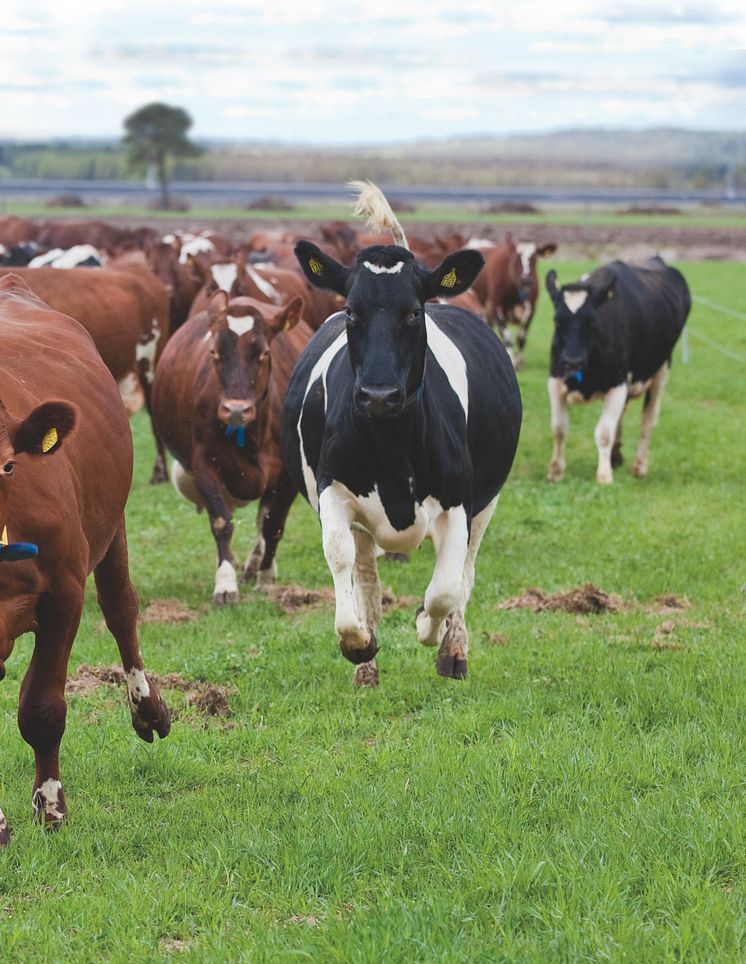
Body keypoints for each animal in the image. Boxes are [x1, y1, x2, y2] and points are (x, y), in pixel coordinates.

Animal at [151, 290, 310, 604]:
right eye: (214, 353)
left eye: (263, 353)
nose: (236, 410)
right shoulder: (205, 465)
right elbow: (221, 522)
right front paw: (226, 583)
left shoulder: (287, 476)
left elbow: (273, 525)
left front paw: (265, 578)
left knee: (263, 520)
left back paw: (257, 564)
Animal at [282, 245, 520, 688]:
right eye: (350, 311)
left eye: (413, 312)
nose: (379, 394)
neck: (391, 445)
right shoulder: (333, 490)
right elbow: (339, 557)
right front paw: (358, 642)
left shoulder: (458, 503)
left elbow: (444, 590)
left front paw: (428, 626)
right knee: (368, 584)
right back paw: (367, 670)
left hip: (487, 501)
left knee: (465, 575)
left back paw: (454, 650)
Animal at [544, 256, 688, 486]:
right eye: (557, 321)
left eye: (591, 321)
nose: (573, 362)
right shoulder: (555, 381)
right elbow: (559, 428)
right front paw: (556, 471)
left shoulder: (618, 383)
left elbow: (604, 432)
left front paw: (604, 475)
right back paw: (616, 457)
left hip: (661, 370)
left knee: (647, 422)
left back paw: (639, 466)